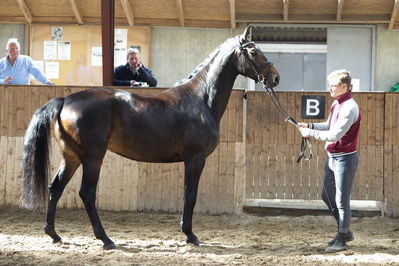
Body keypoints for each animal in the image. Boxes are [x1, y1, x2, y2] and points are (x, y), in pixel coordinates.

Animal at [21, 25, 278, 249]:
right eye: (253, 52)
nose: (275, 77)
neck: (200, 99)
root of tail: (66, 99)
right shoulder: (195, 159)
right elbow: (190, 195)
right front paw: (190, 235)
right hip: (93, 157)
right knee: (87, 193)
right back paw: (106, 239)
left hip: (72, 156)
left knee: (55, 187)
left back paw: (54, 234)